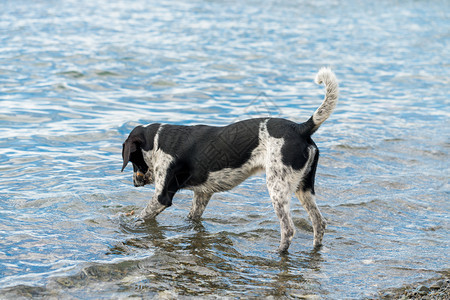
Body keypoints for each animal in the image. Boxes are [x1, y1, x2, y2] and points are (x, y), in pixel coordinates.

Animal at [121, 67, 340, 252]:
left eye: (132, 160)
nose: (135, 183)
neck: (158, 142)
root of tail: (301, 128)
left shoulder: (162, 196)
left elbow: (142, 216)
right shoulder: (202, 194)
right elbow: (192, 219)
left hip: (277, 188)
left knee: (288, 229)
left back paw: (278, 253)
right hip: (304, 188)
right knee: (319, 223)